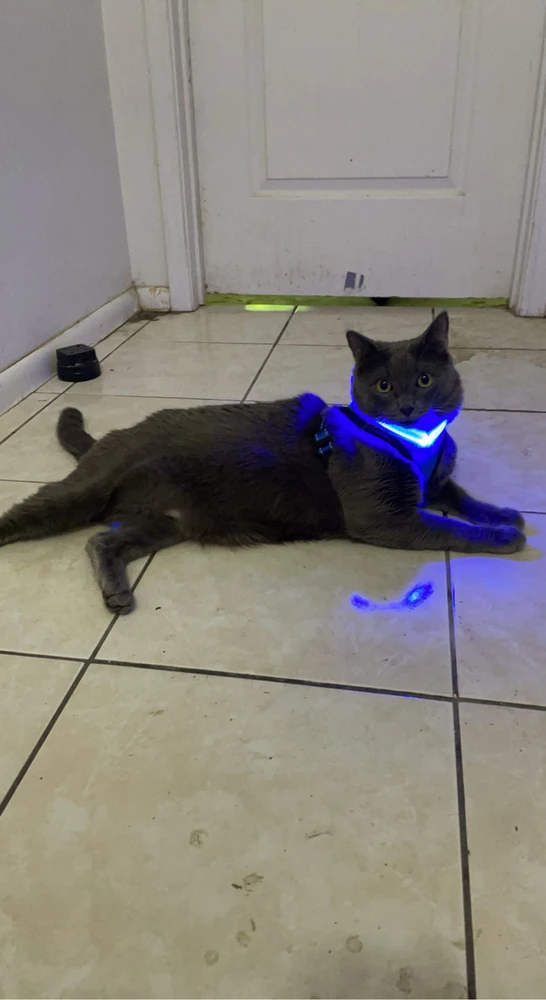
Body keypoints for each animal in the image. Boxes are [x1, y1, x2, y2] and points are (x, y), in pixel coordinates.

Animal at [0, 311, 525, 614]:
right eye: (383, 386)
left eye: (423, 379)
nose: (408, 407)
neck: (419, 443)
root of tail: (113, 437)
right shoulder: (386, 517)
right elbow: (451, 528)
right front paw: (505, 537)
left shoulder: (434, 485)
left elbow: (462, 497)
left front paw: (506, 514)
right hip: (87, 490)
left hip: (166, 524)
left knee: (100, 541)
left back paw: (116, 593)